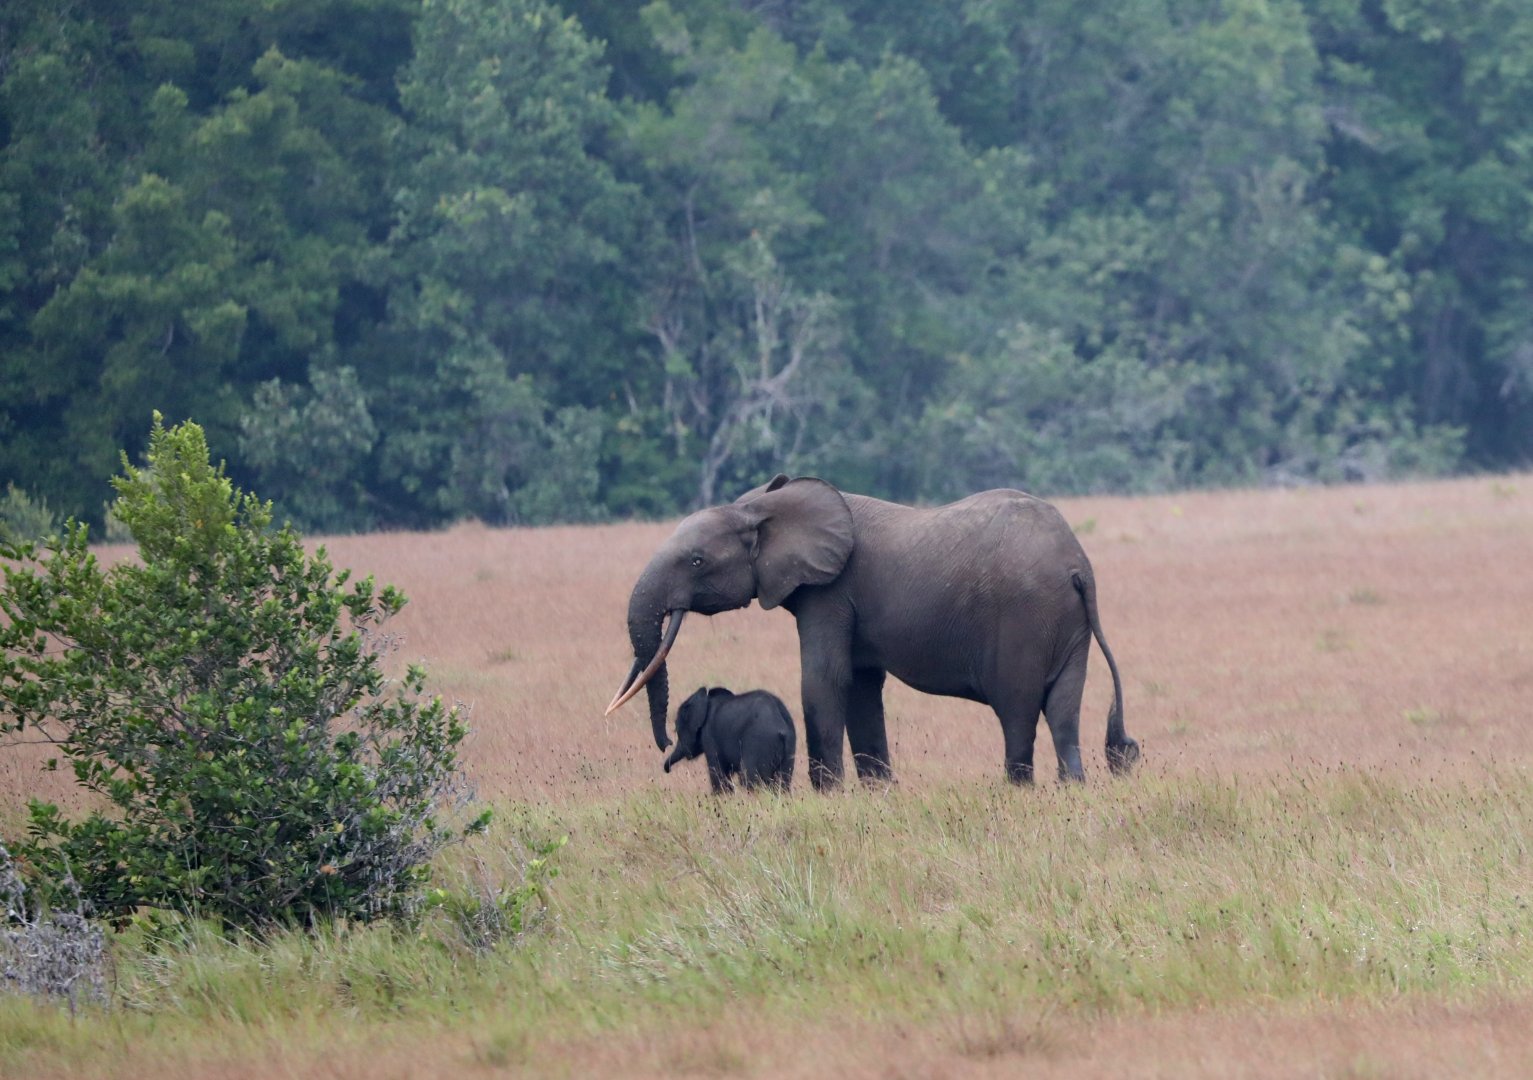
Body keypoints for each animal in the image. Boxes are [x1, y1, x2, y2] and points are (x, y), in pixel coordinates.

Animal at [663, 686, 796, 792]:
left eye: (676, 730)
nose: (667, 770)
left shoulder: (709, 735)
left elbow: (718, 777)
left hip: (760, 742)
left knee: (749, 779)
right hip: (789, 747)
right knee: (782, 782)